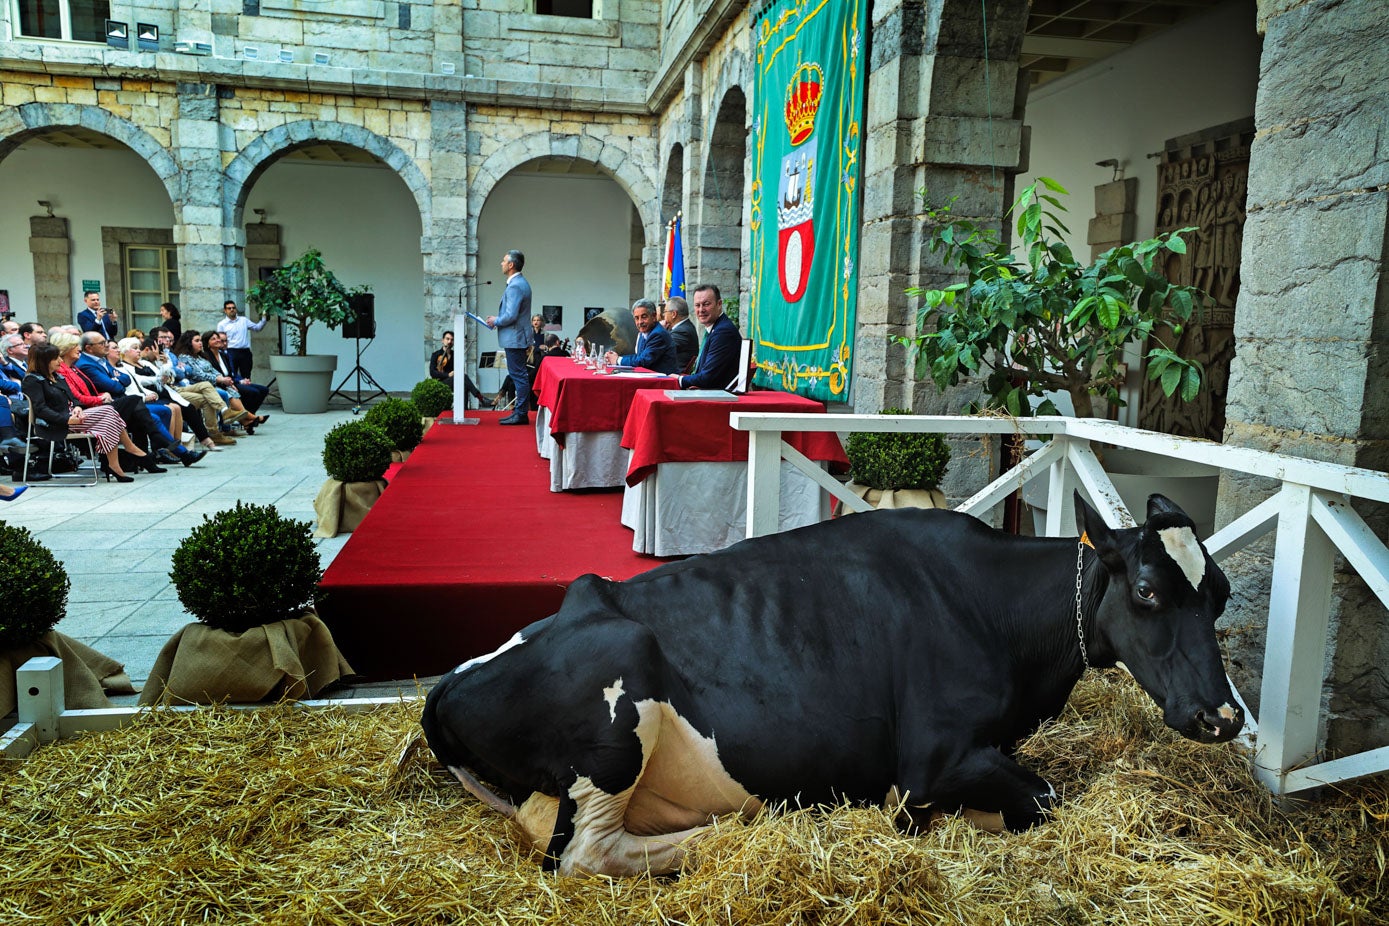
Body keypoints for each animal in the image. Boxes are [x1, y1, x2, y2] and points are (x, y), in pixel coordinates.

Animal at [419, 497, 1238, 871]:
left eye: (1221, 594)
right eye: (1146, 592)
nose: (1224, 716)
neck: (989, 606)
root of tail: (450, 680)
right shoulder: (933, 759)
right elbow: (1037, 797)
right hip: (618, 709)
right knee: (586, 853)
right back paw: (732, 832)